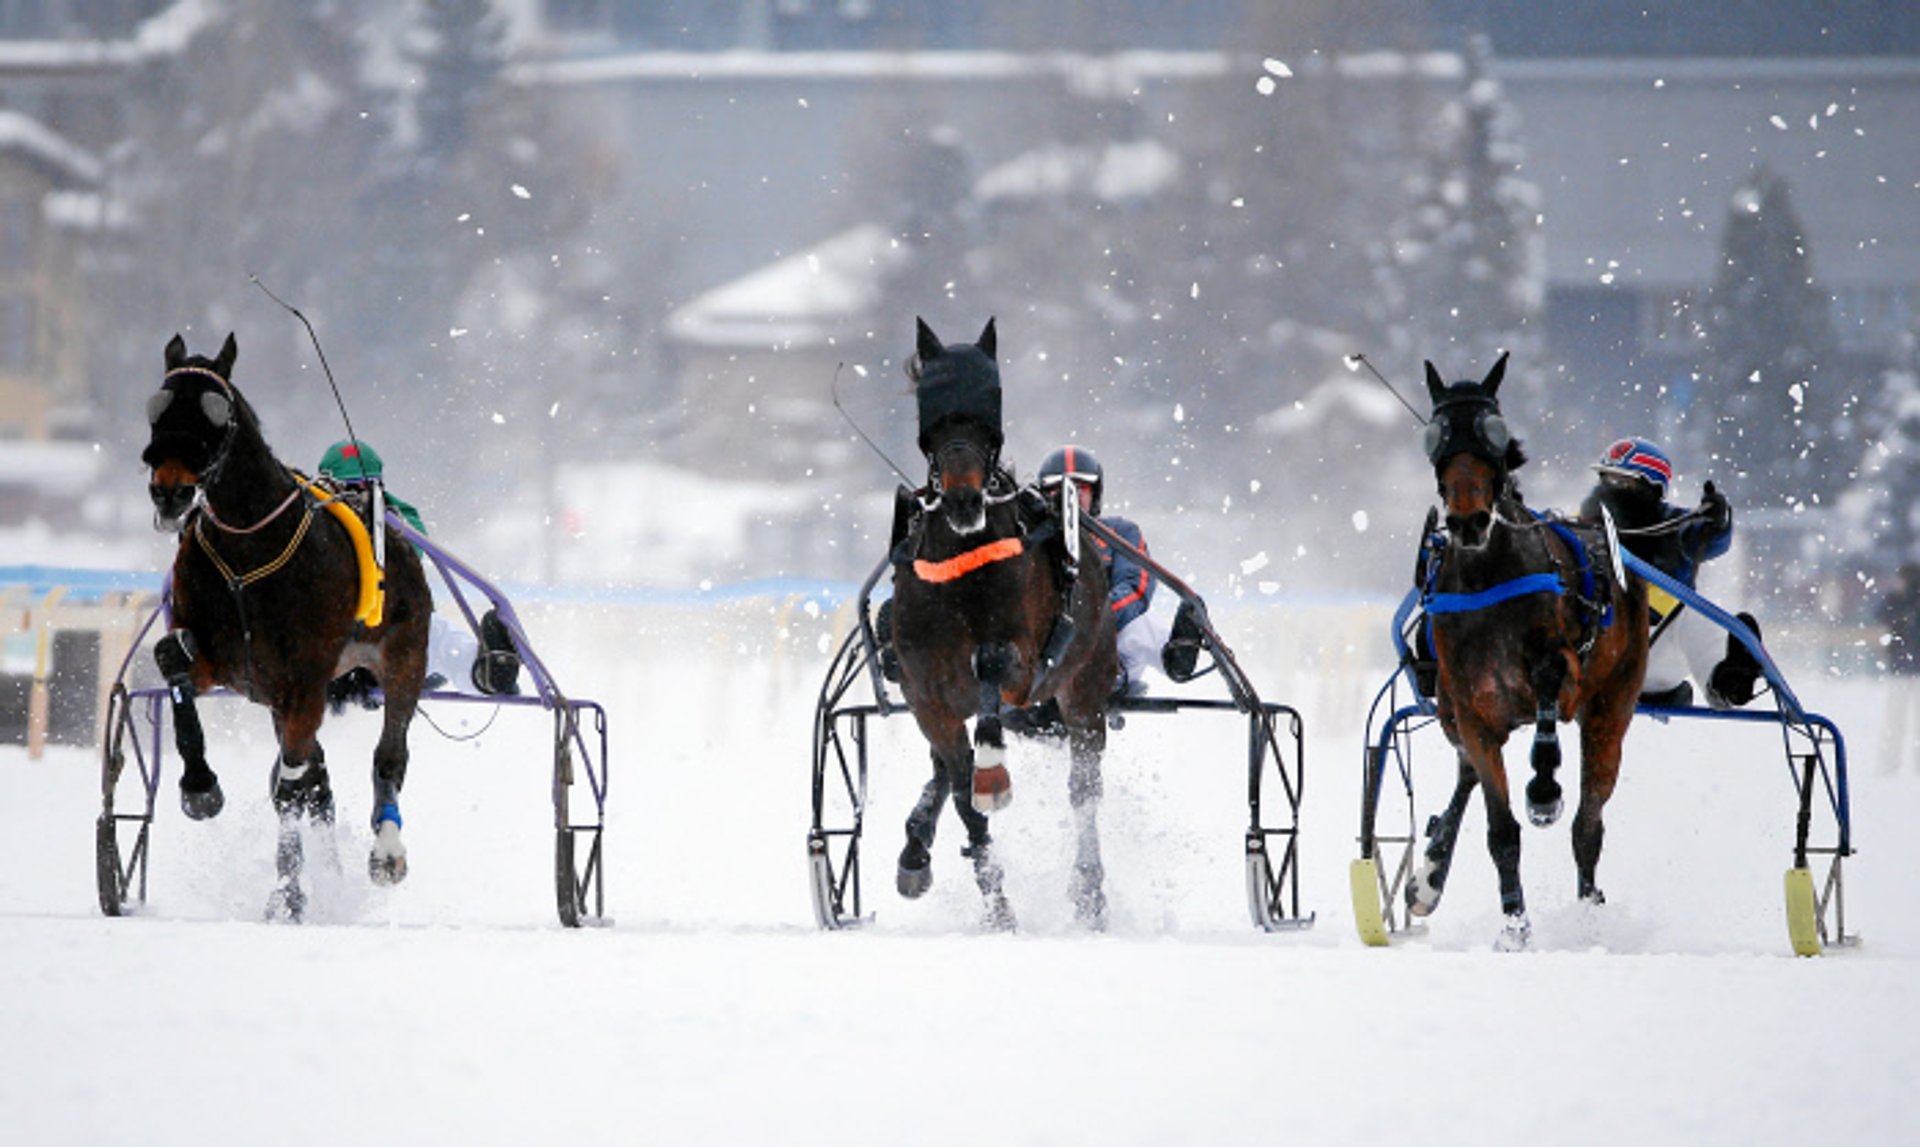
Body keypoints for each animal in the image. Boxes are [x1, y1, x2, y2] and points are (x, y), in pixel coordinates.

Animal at [141, 332, 432, 922]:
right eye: (155, 408)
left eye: (217, 414)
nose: (170, 492)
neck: (246, 551)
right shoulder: (231, 665)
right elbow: (172, 659)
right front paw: (199, 786)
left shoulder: (305, 680)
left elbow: (290, 791)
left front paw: (289, 895)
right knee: (316, 779)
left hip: (404, 657)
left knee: (387, 755)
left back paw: (385, 851)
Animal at [890, 317, 1121, 926]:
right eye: (935, 423)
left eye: (984, 418)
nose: (965, 499)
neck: (960, 568)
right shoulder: (926, 697)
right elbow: (960, 788)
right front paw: (997, 906)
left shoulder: (1022, 670)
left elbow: (993, 665)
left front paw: (993, 771)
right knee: (945, 773)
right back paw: (916, 849)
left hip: (1086, 685)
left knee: (1084, 788)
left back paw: (1089, 891)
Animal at [1413, 355, 1651, 949]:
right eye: (1436, 435)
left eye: (1494, 432)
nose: (1468, 519)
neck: (1487, 575)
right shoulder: (1470, 710)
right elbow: (1500, 830)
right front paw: (1514, 927)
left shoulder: (1562, 673)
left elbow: (1547, 699)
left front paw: (1543, 790)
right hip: (1451, 708)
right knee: (1465, 772)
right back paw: (1429, 873)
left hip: (1613, 705)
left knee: (1589, 822)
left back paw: (1589, 912)